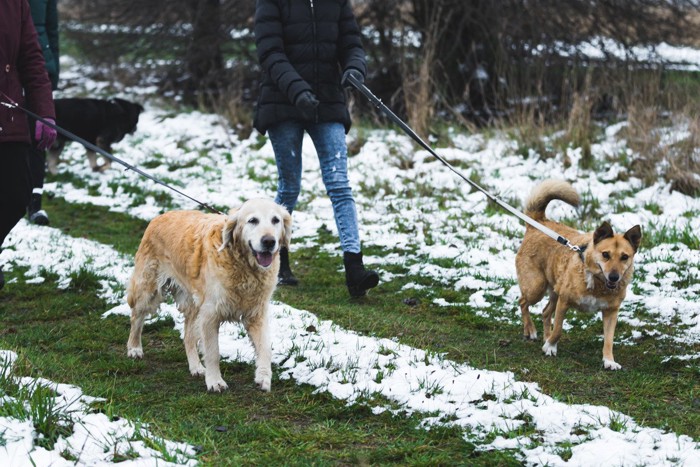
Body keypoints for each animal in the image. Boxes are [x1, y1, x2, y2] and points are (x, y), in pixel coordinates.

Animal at [126, 199, 290, 394]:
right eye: (253, 220)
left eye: (275, 220)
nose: (269, 241)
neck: (244, 267)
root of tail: (160, 217)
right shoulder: (210, 315)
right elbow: (213, 352)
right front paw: (215, 381)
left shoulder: (256, 314)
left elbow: (265, 348)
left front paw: (263, 377)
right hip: (148, 290)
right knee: (136, 317)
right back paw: (134, 348)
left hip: (193, 304)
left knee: (188, 337)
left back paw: (196, 367)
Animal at [516, 181, 640, 372]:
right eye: (605, 254)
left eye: (624, 257)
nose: (614, 277)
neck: (598, 284)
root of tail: (538, 222)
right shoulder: (564, 301)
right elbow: (559, 329)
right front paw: (550, 346)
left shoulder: (611, 312)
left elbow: (609, 340)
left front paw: (609, 361)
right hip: (536, 287)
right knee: (522, 302)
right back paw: (531, 331)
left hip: (554, 291)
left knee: (545, 312)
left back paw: (544, 337)